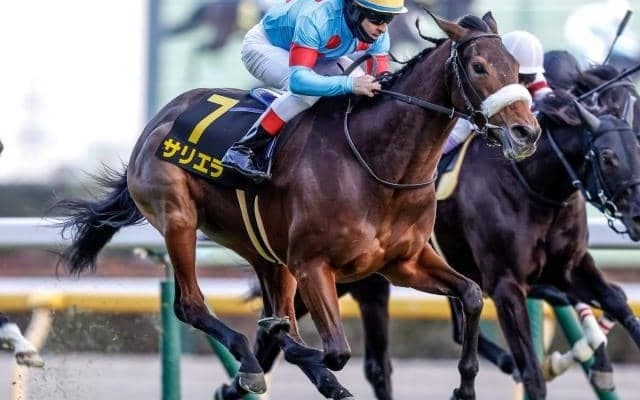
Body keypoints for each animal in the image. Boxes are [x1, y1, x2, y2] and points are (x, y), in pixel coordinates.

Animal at [58, 12, 540, 400]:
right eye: (478, 66)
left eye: (516, 68)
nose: (526, 131)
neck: (378, 165)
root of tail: (159, 120)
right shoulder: (313, 264)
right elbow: (336, 350)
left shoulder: (403, 262)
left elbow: (472, 296)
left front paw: (465, 385)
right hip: (179, 218)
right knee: (192, 306)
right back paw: (255, 360)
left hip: (266, 253)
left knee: (274, 312)